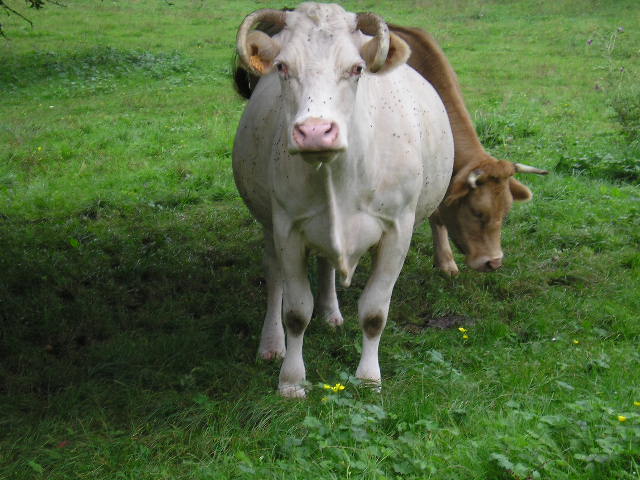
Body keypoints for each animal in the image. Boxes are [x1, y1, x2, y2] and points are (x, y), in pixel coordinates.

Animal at [232, 1, 452, 396]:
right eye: (282, 67)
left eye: (356, 68)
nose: (315, 132)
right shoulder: (287, 229)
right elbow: (295, 312)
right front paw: (291, 381)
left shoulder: (398, 230)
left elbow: (375, 313)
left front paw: (368, 378)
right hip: (268, 224)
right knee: (274, 279)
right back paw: (271, 344)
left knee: (328, 265)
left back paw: (332, 313)